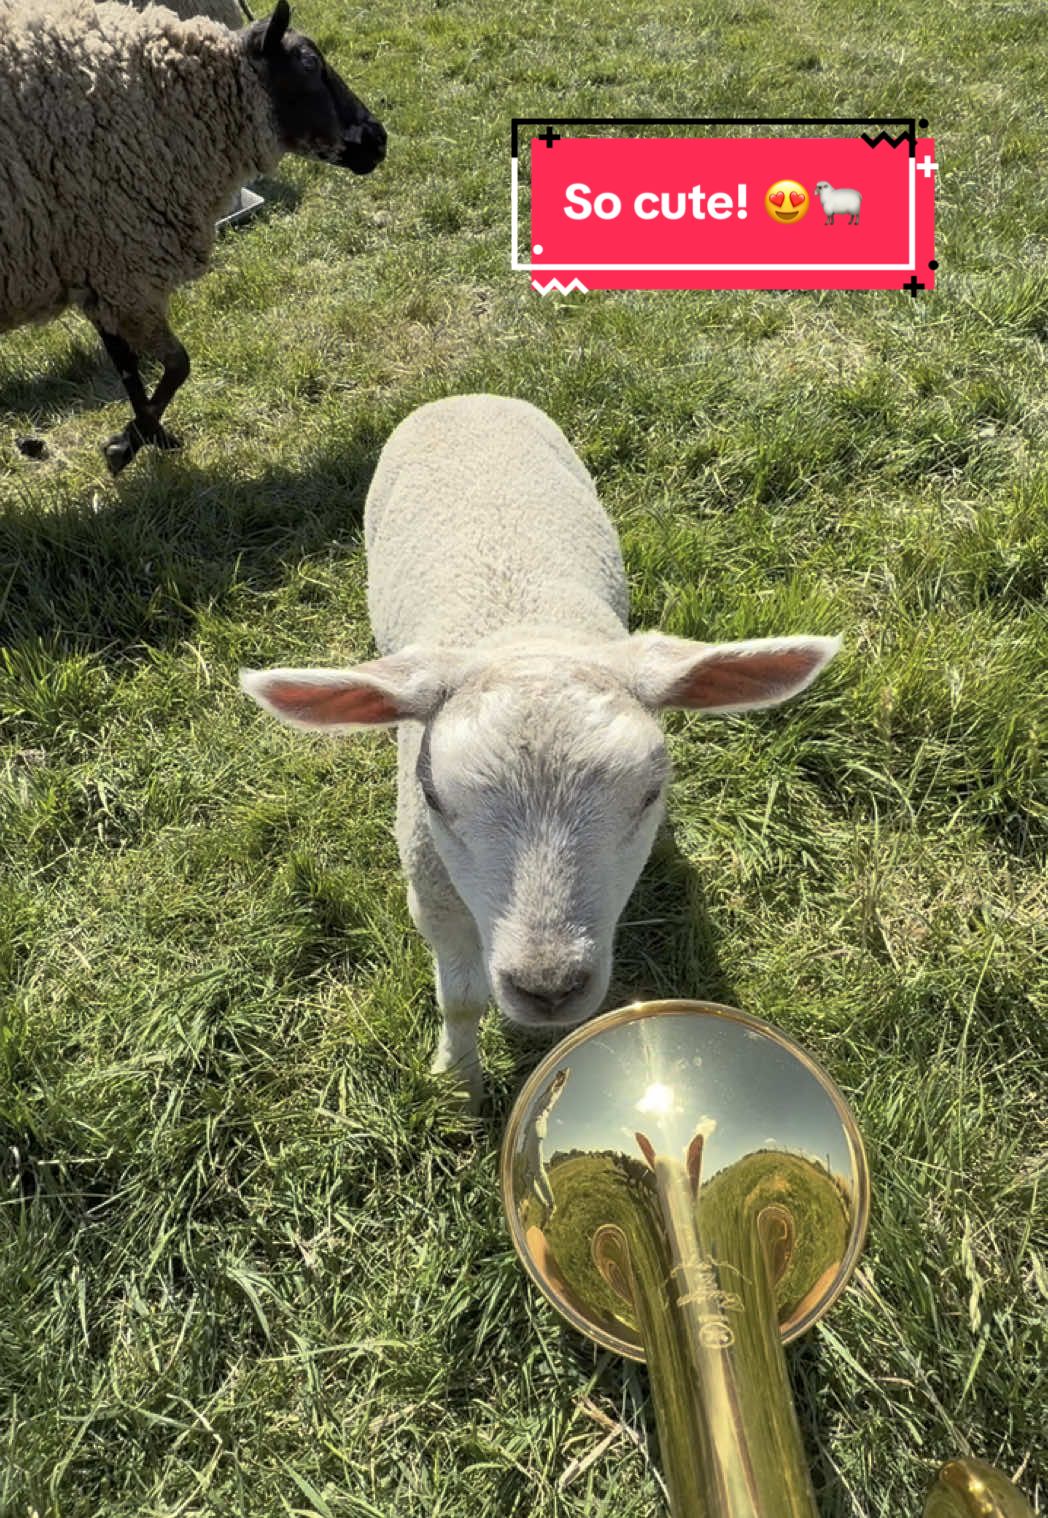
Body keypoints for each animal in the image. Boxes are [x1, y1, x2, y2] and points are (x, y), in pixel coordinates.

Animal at [0, 0, 386, 473]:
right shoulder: (124, 263)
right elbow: (177, 366)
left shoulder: (99, 265)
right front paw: (129, 445)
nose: (379, 139)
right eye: (309, 63)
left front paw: (144, 438)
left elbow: (128, 368)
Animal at [241, 395, 841, 1111]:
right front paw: (458, 1085)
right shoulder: (431, 892)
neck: (521, 627)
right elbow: (461, 1000)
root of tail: (467, 396)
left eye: (650, 794)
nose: (548, 989)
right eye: (433, 797)